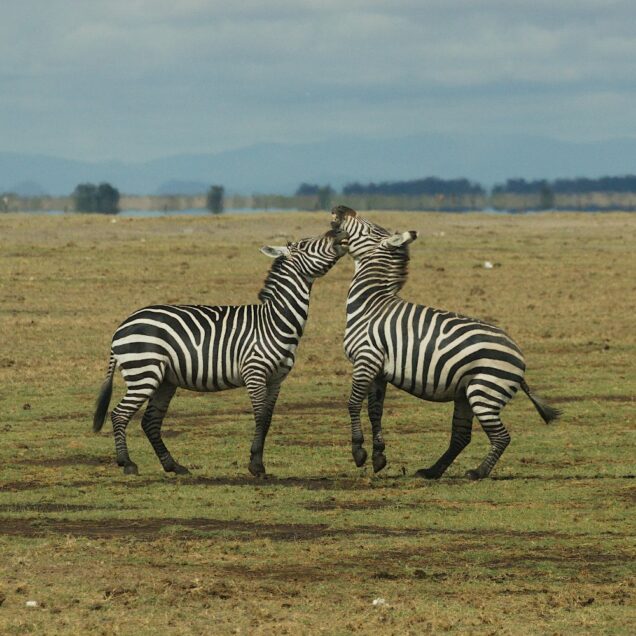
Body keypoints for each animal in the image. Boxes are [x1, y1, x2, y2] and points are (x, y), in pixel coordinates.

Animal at [92, 230, 348, 476]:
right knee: (119, 414)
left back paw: (173, 466)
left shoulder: (276, 380)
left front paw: (258, 462)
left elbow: (267, 420)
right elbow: (259, 417)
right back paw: (127, 463)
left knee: (150, 421)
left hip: (164, 380)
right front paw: (256, 466)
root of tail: (122, 325)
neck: (273, 321)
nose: (340, 234)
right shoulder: (255, 373)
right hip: (144, 373)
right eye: (305, 245)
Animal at [330, 206, 560, 480]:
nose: (340, 209)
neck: (370, 305)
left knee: (501, 437)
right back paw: (432, 471)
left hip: (484, 392)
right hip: (465, 394)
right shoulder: (377, 371)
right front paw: (379, 456)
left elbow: (353, 403)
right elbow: (375, 411)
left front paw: (359, 452)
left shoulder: (366, 359)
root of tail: (519, 357)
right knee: (461, 436)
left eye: (367, 227)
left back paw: (478, 472)